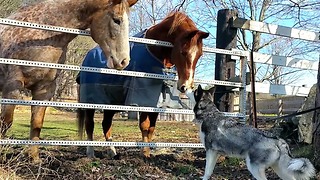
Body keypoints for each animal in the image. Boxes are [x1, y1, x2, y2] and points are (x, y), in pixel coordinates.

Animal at [0, 0, 138, 161]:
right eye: (117, 20)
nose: (123, 61)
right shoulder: (13, 86)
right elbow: (6, 122)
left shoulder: (44, 89)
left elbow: (37, 123)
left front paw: (34, 158)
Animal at [77, 10, 208, 158]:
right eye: (183, 52)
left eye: (199, 55)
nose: (186, 86)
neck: (153, 50)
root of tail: (86, 58)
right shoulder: (143, 100)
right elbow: (144, 125)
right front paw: (144, 152)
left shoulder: (156, 103)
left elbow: (151, 128)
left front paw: (148, 152)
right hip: (90, 102)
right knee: (90, 125)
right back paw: (90, 153)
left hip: (110, 104)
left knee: (106, 124)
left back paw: (112, 152)